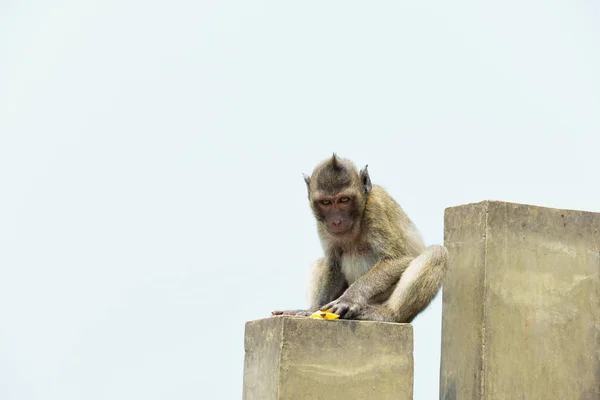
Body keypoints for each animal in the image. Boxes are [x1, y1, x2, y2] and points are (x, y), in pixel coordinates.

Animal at [270, 155, 446, 324]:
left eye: (344, 200)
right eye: (326, 202)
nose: (336, 221)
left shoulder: (375, 210)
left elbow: (397, 259)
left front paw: (349, 299)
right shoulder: (323, 226)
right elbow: (333, 263)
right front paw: (313, 309)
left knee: (436, 253)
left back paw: (390, 314)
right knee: (320, 262)